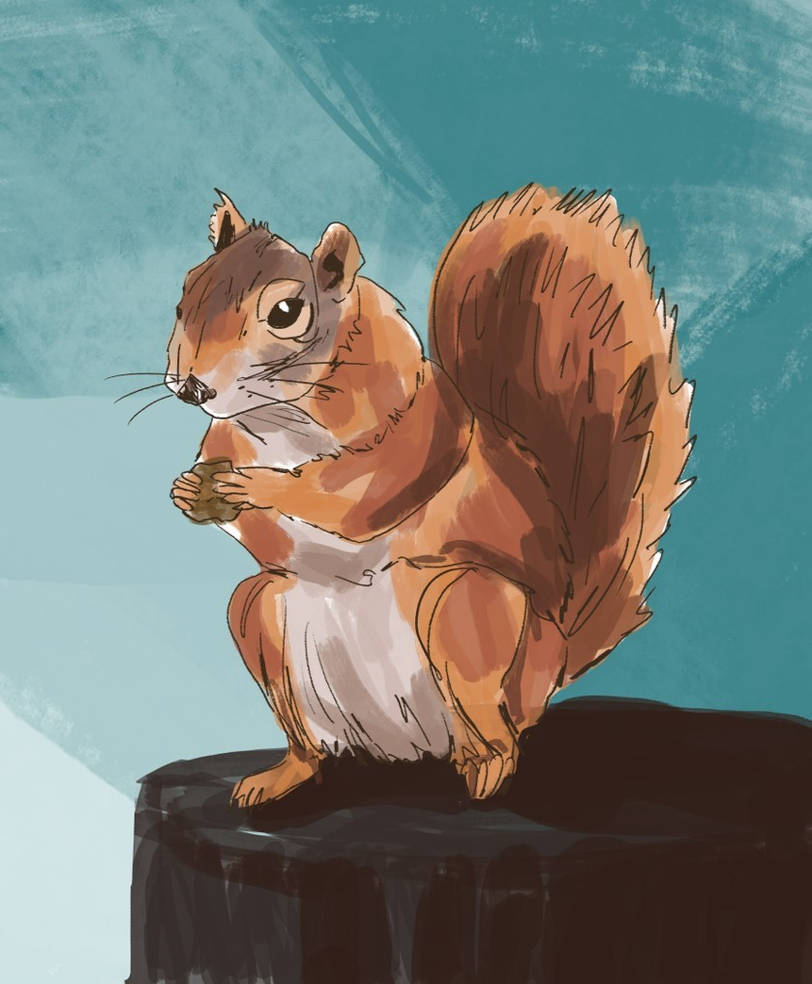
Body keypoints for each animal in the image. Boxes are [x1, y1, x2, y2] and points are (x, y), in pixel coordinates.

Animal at [167, 184, 694, 807]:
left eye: (285, 313)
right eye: (185, 293)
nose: (190, 386)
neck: (279, 419)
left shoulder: (422, 430)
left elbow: (355, 497)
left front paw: (256, 485)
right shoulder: (227, 439)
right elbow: (264, 532)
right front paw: (191, 491)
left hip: (464, 609)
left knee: (495, 727)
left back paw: (487, 768)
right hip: (257, 616)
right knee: (307, 740)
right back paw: (280, 777)